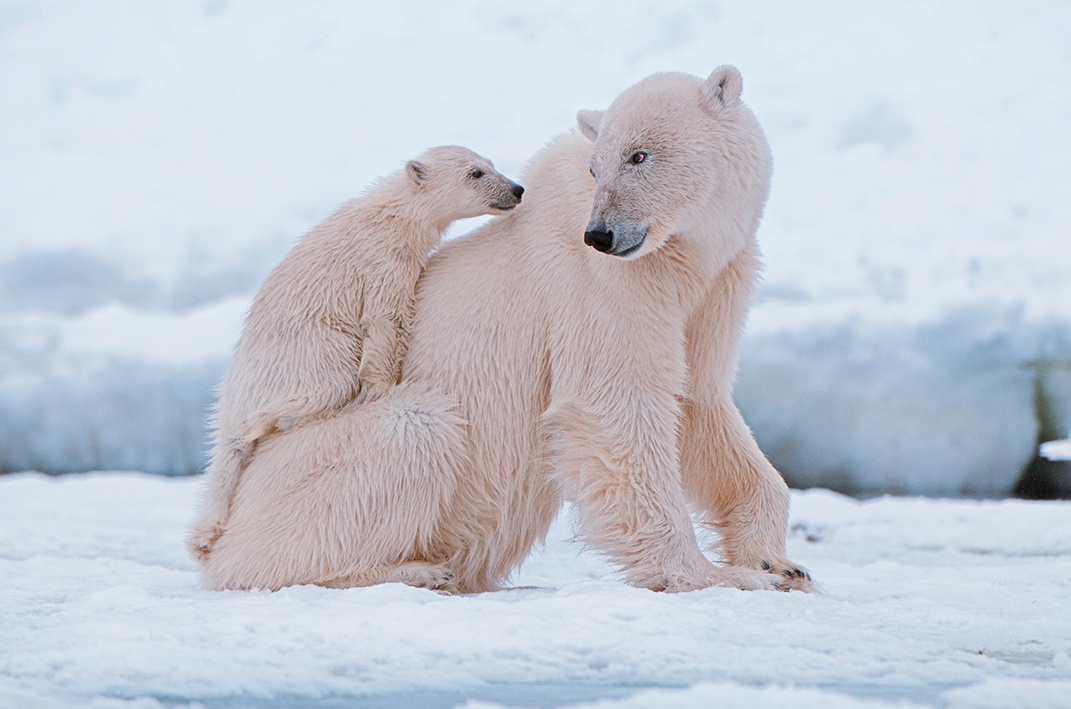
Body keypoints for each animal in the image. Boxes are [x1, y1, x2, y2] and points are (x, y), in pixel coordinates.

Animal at [201, 69, 809, 595]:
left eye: (639, 155)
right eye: (596, 167)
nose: (601, 234)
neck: (682, 254)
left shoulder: (715, 285)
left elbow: (699, 402)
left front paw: (779, 563)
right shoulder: (602, 285)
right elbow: (614, 404)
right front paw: (719, 576)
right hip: (308, 465)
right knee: (412, 428)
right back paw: (415, 570)